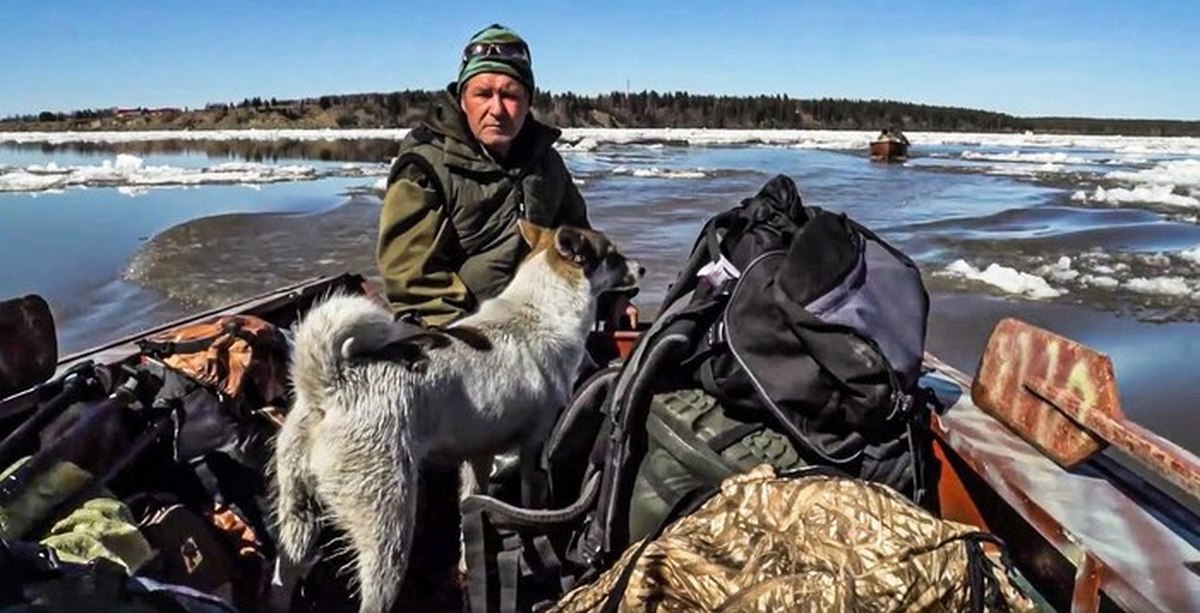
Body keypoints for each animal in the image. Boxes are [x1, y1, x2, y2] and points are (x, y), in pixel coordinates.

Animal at [274, 221, 648, 613]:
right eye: (613, 256)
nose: (642, 270)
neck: (539, 309)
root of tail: (332, 383)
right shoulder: (534, 446)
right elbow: (533, 503)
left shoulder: (478, 455)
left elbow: (472, 501)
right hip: (388, 519)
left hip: (296, 519)